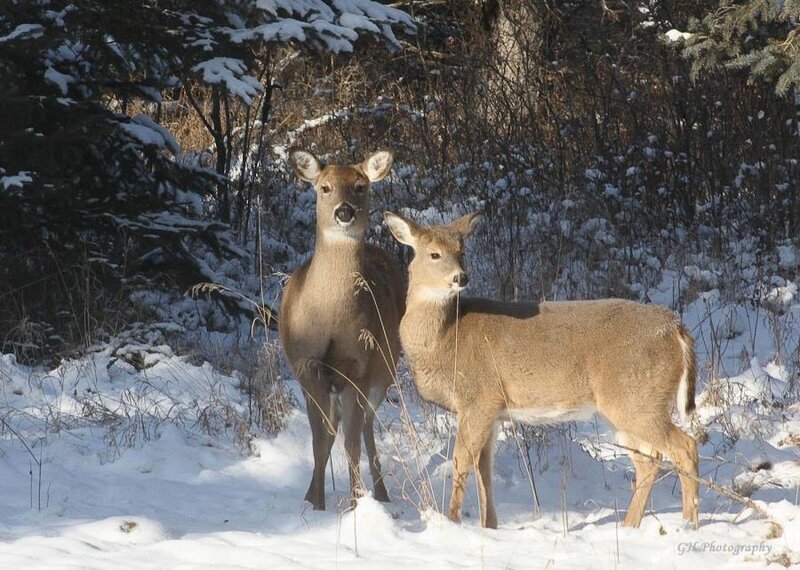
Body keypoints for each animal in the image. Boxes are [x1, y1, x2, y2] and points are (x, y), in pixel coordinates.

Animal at [279, 149, 405, 511]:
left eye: (361, 186)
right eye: (325, 187)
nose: (344, 212)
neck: (330, 318)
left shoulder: (358, 368)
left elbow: (350, 443)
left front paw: (355, 503)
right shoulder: (306, 366)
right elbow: (321, 441)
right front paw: (315, 504)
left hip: (385, 369)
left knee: (365, 427)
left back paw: (381, 492)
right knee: (337, 427)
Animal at [383, 210, 700, 530]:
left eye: (462, 251)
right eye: (434, 254)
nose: (461, 277)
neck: (446, 337)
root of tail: (675, 328)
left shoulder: (479, 397)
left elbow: (461, 462)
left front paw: (453, 520)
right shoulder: (492, 412)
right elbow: (484, 470)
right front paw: (488, 526)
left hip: (636, 398)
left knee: (685, 447)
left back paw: (689, 522)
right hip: (626, 406)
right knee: (649, 460)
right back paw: (630, 525)